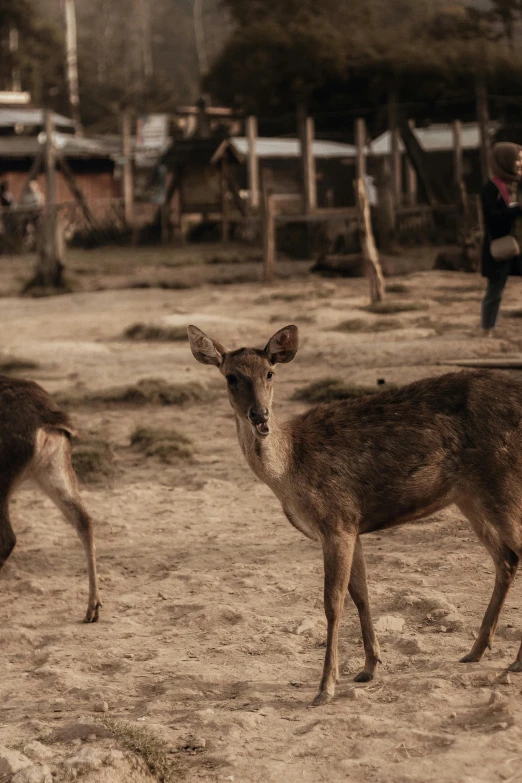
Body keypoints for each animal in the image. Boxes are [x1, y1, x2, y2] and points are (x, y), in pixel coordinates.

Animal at [188, 328, 520, 708]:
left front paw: (325, 687)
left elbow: (332, 603)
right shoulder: (353, 525)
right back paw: (475, 651)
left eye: (269, 373)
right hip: (469, 495)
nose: (260, 416)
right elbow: (361, 593)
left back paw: (514, 662)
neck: (288, 472)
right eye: (231, 377)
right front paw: (369, 667)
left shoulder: (336, 520)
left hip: (502, 480)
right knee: (506, 558)